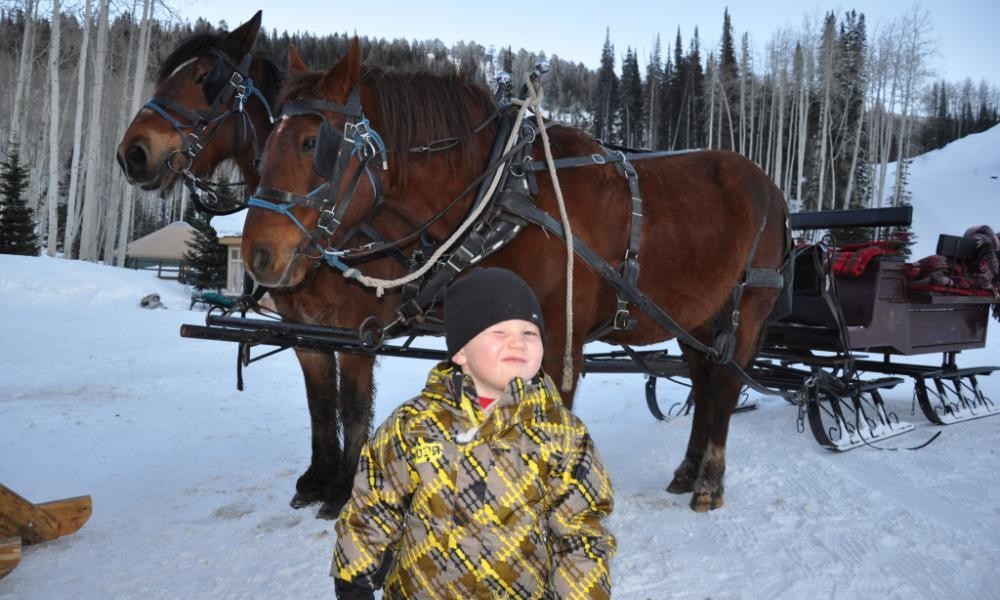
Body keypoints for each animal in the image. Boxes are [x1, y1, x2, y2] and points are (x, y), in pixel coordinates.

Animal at [115, 15, 379, 519]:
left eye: (205, 79)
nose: (132, 153)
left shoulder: (357, 335)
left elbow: (354, 410)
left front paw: (341, 491)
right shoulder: (305, 331)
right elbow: (321, 404)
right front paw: (318, 479)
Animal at [242, 39, 790, 512]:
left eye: (312, 143)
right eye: (265, 143)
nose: (257, 254)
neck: (505, 195)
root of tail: (773, 189)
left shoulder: (560, 344)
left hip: (746, 309)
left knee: (724, 387)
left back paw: (710, 480)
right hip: (695, 318)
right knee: (703, 381)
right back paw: (688, 469)